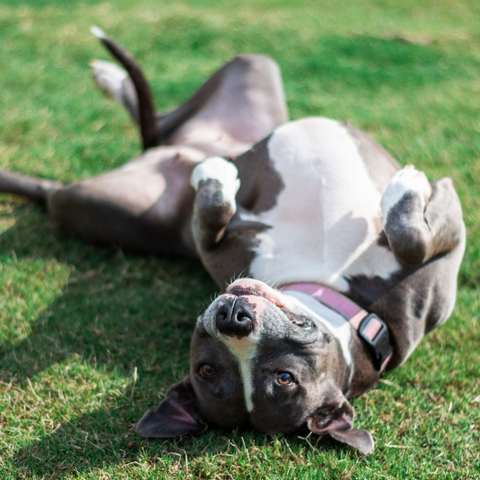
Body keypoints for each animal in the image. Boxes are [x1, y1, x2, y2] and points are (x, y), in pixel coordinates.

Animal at [0, 29, 464, 454]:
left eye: (284, 378)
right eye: (207, 370)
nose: (233, 319)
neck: (330, 288)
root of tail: (166, 148)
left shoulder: (447, 251)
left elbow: (412, 240)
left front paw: (407, 187)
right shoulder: (217, 244)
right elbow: (212, 214)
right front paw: (217, 176)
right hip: (241, 81)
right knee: (163, 119)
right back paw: (115, 82)